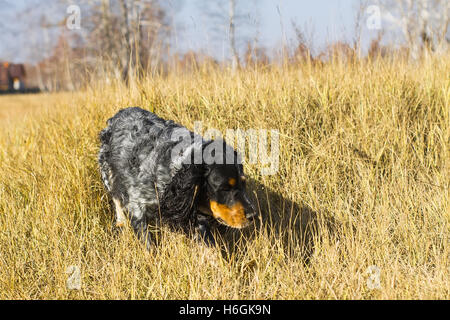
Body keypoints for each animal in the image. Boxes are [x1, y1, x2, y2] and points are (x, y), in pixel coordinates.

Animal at [98, 106, 256, 246]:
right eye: (224, 189)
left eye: (244, 184)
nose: (253, 216)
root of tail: (120, 113)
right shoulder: (137, 205)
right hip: (107, 171)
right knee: (116, 197)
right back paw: (121, 221)